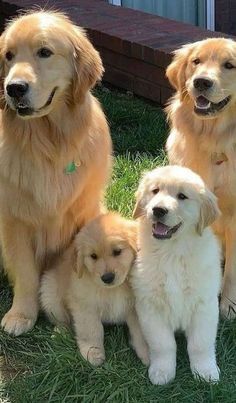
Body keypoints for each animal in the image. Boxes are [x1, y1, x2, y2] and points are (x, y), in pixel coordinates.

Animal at [0, 11, 111, 336]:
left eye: (44, 52)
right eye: (8, 56)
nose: (13, 88)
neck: (49, 142)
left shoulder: (81, 218)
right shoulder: (14, 220)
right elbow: (24, 272)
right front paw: (21, 315)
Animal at [39, 213, 148, 368]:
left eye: (117, 251)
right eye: (93, 256)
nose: (107, 278)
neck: (114, 289)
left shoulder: (136, 307)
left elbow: (141, 331)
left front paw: (147, 353)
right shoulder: (85, 307)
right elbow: (92, 331)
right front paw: (93, 352)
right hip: (50, 293)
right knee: (61, 319)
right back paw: (60, 332)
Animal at [132, 166, 222, 386]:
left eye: (182, 196)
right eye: (155, 191)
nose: (158, 210)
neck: (172, 252)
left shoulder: (204, 305)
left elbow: (200, 344)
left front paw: (206, 372)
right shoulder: (150, 306)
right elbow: (163, 344)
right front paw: (162, 371)